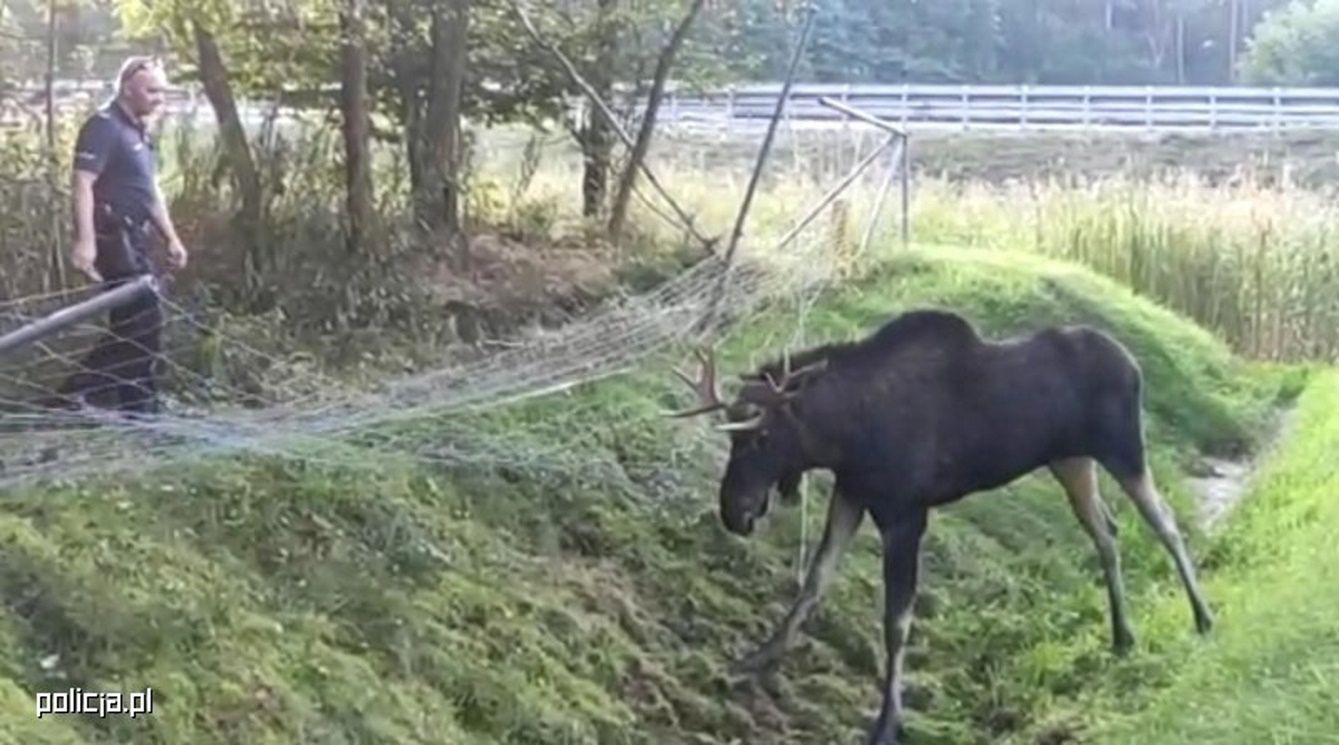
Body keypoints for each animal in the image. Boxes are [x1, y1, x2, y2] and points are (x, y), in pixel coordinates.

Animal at [664, 306, 1221, 745]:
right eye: (734, 438)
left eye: (760, 438)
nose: (734, 512)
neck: (845, 433)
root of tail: (1134, 362)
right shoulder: (851, 495)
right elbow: (813, 582)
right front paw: (755, 659)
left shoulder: (905, 516)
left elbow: (896, 622)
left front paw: (888, 722)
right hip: (1071, 461)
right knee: (1107, 532)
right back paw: (1123, 635)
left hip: (1124, 449)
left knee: (1166, 524)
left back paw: (1203, 616)